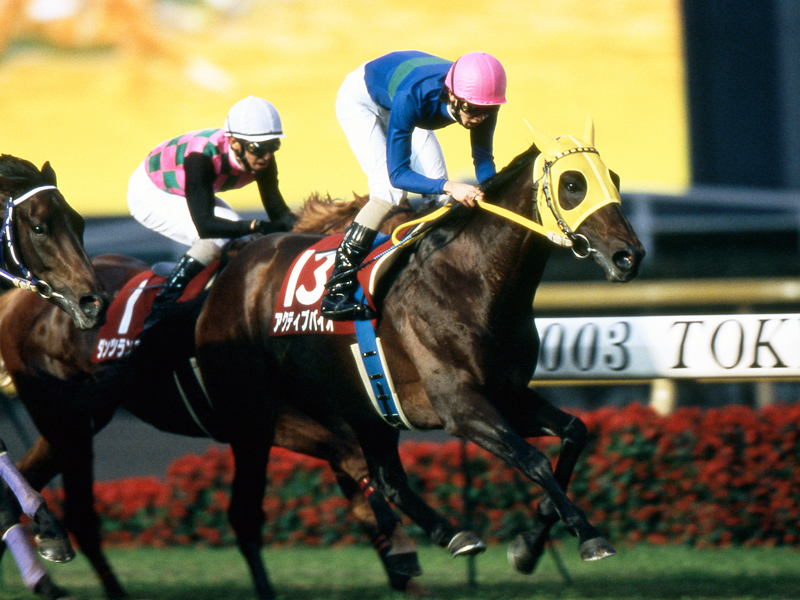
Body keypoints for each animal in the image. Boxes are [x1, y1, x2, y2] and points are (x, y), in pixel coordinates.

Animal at [0, 195, 439, 600]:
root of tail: (23, 298)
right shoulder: (266, 420)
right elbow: (349, 460)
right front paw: (405, 555)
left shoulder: (326, 417)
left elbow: (356, 476)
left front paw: (403, 567)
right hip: (68, 423)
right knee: (79, 514)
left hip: (73, 424)